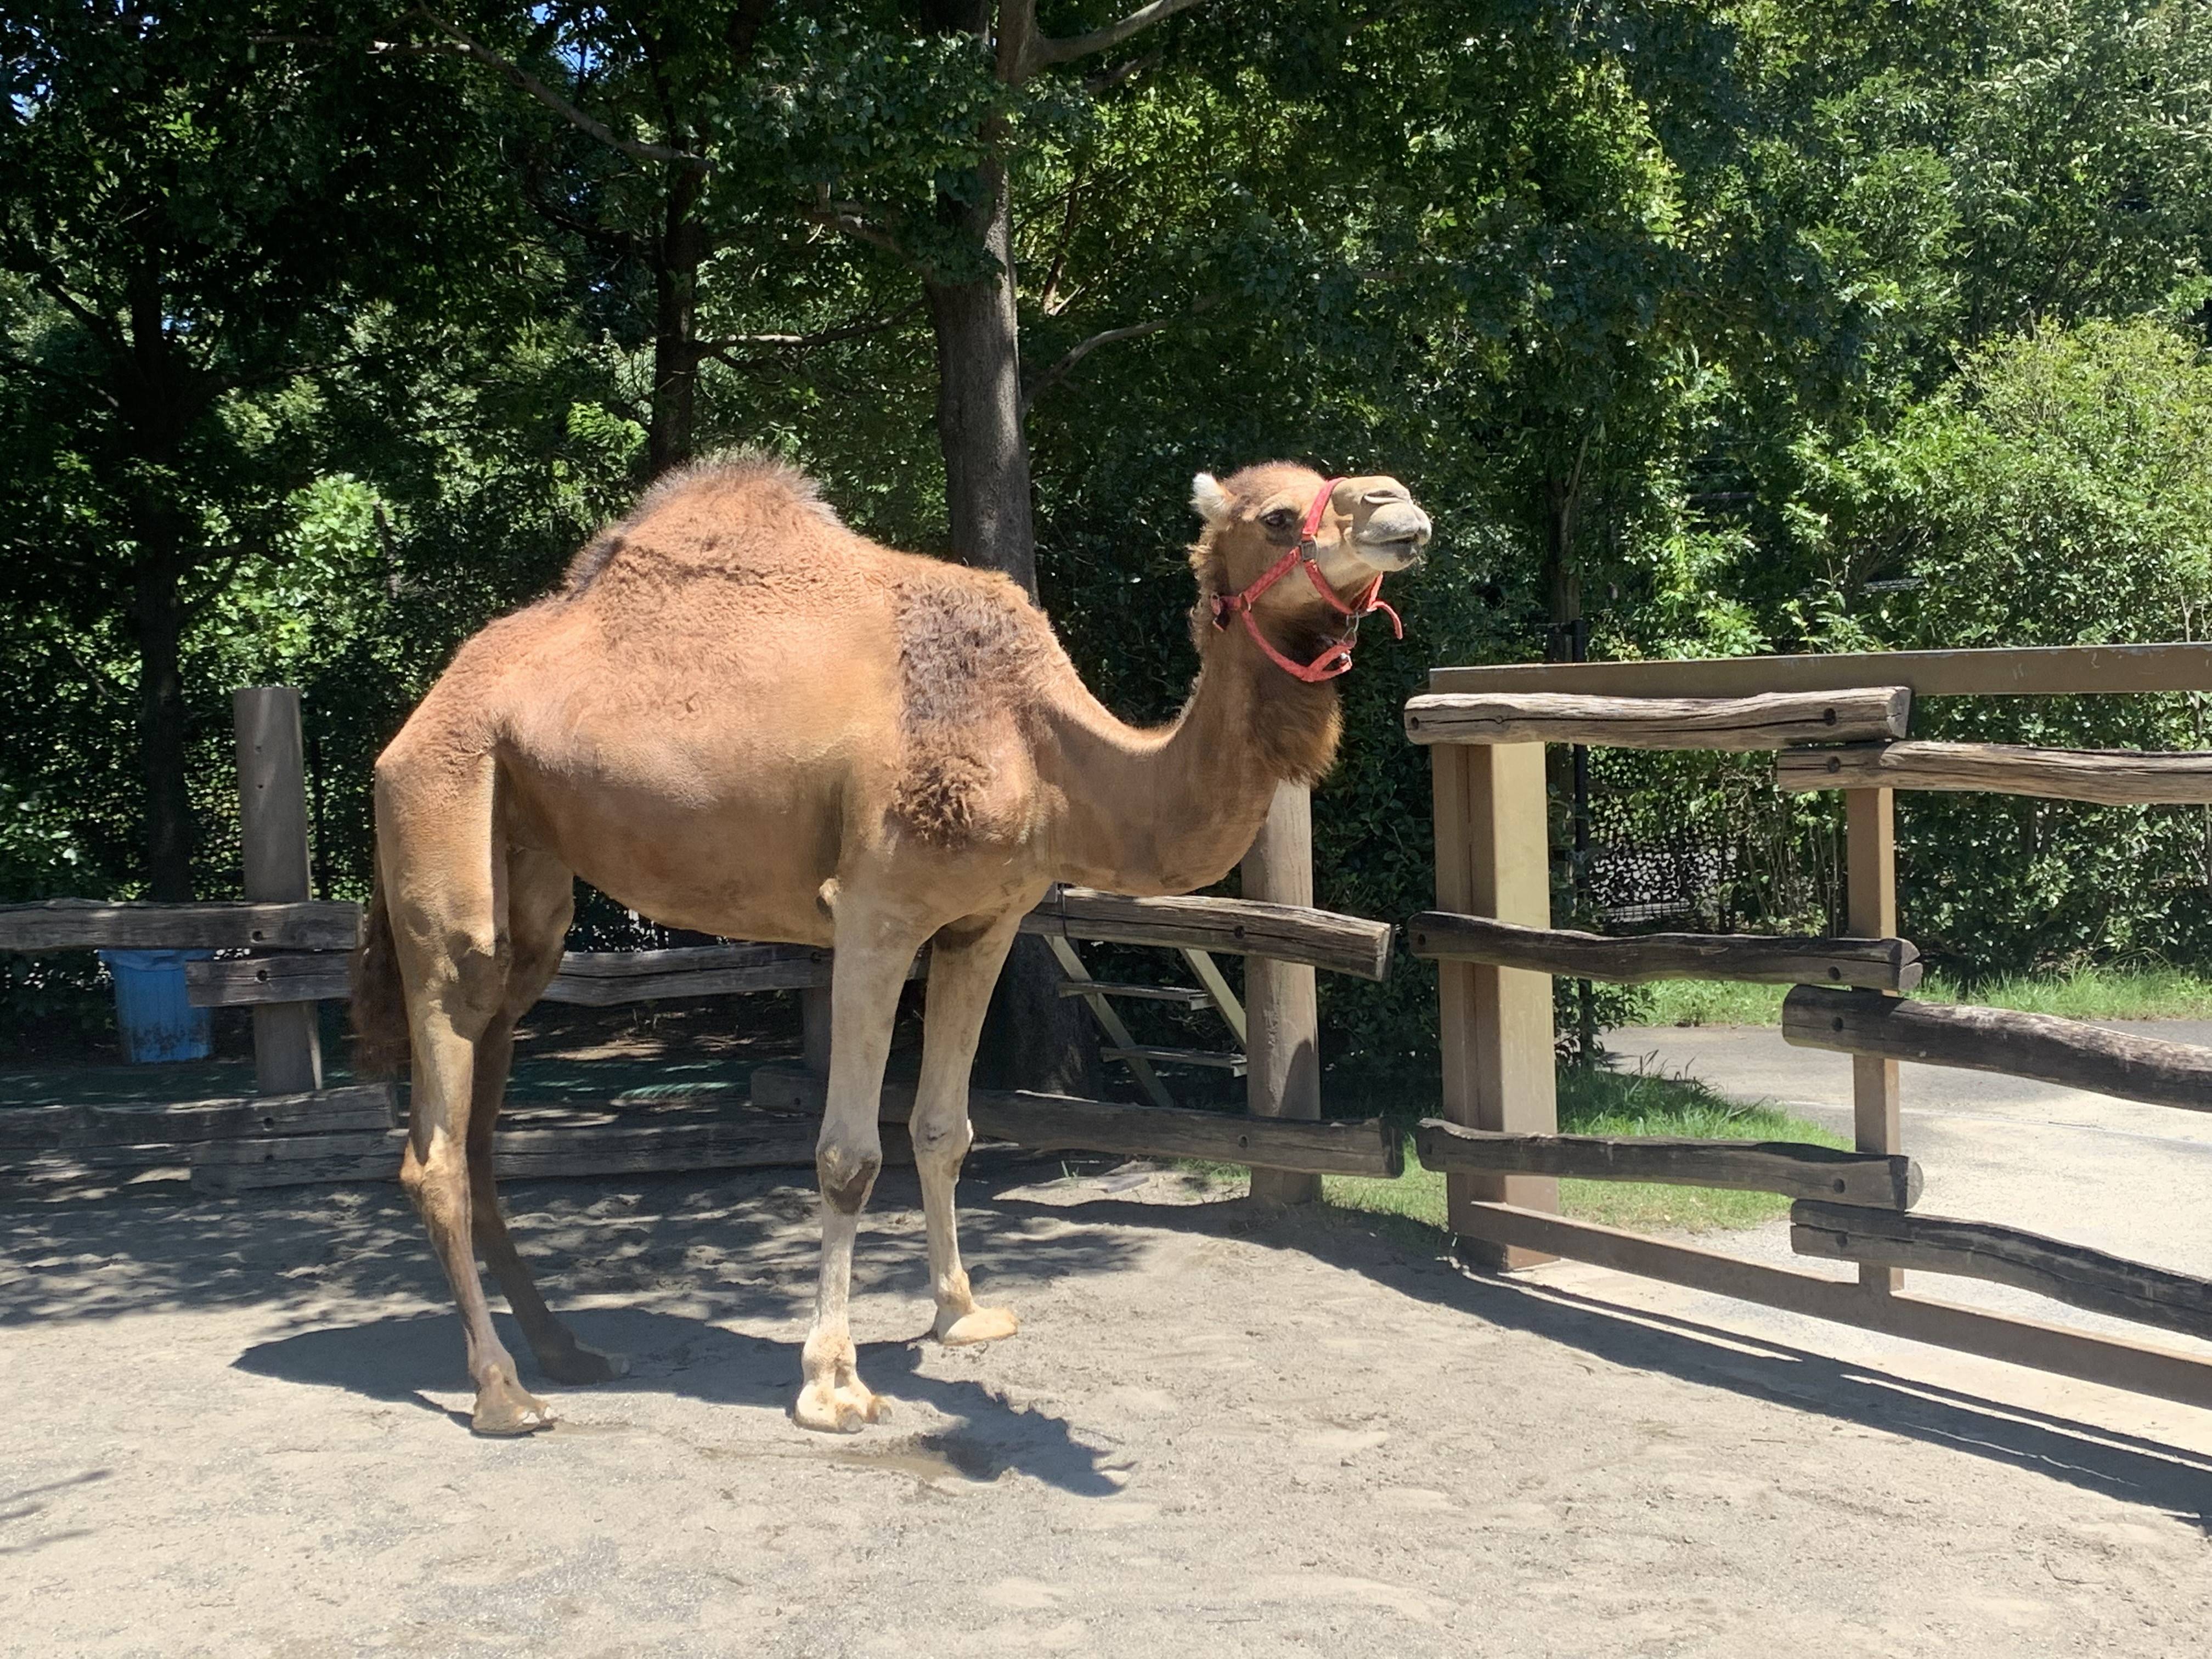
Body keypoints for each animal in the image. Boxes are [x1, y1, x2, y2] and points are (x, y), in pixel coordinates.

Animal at [354, 451, 1433, 1433]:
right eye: (1282, 512)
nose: (1401, 505)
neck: (1041, 746)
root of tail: (415, 718)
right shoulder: (876, 911)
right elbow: (847, 1155)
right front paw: (832, 1383)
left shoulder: (984, 924)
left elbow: (944, 1129)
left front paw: (962, 1314)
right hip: (448, 808)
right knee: (438, 1126)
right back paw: (503, 1393)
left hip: (529, 875)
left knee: (484, 1112)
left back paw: (567, 1350)